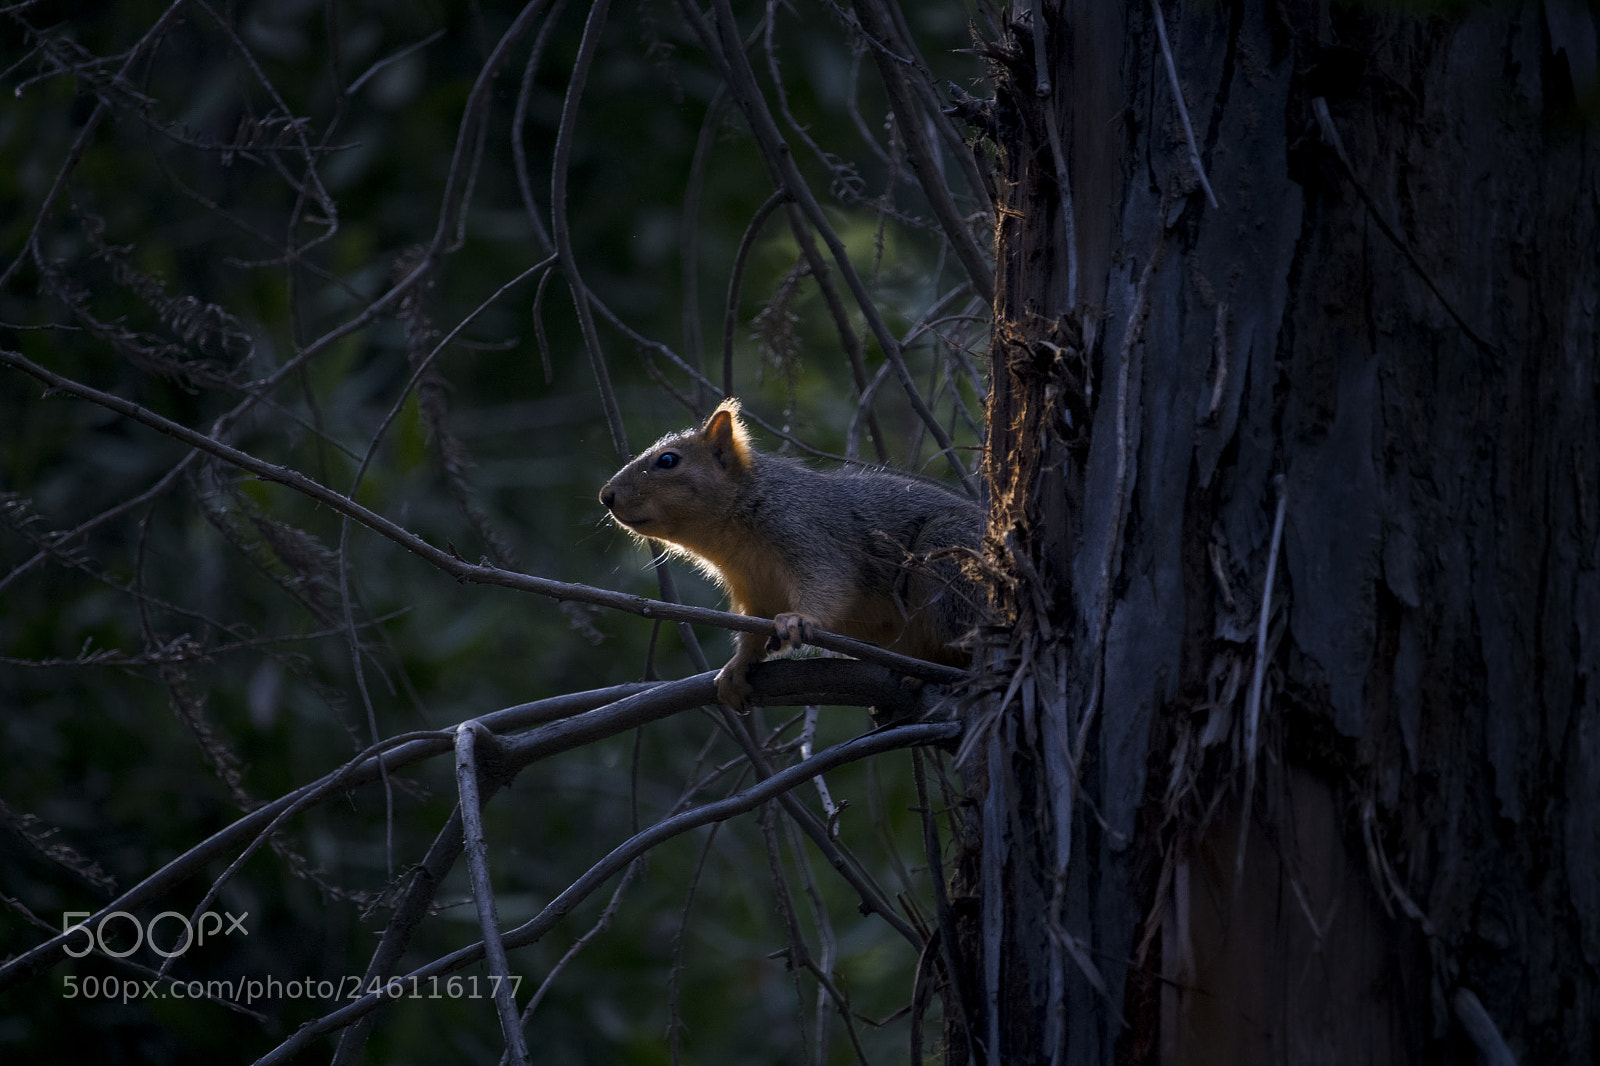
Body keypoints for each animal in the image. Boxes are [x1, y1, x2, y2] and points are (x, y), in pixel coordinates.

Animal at [599, 399, 983, 711]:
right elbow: (753, 629)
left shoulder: (809, 534)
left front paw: (799, 619)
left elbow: (830, 584)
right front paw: (738, 666)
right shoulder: (754, 590)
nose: (606, 496)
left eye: (667, 460)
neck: (733, 541)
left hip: (949, 558)